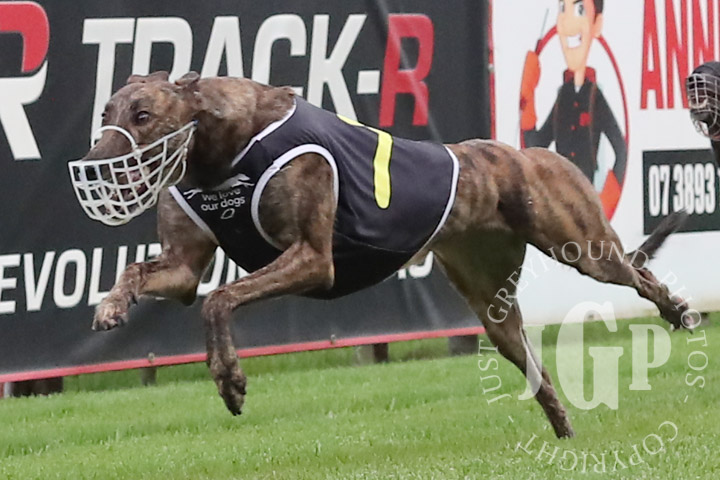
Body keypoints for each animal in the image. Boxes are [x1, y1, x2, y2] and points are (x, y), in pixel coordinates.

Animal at [69, 71, 690, 439]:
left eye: (142, 115)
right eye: (105, 115)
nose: (95, 165)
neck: (221, 150)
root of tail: (532, 151)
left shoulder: (313, 259)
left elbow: (218, 299)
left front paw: (229, 379)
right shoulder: (181, 267)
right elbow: (152, 274)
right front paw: (111, 307)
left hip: (583, 246)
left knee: (639, 274)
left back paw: (677, 311)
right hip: (492, 305)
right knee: (533, 365)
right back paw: (562, 426)